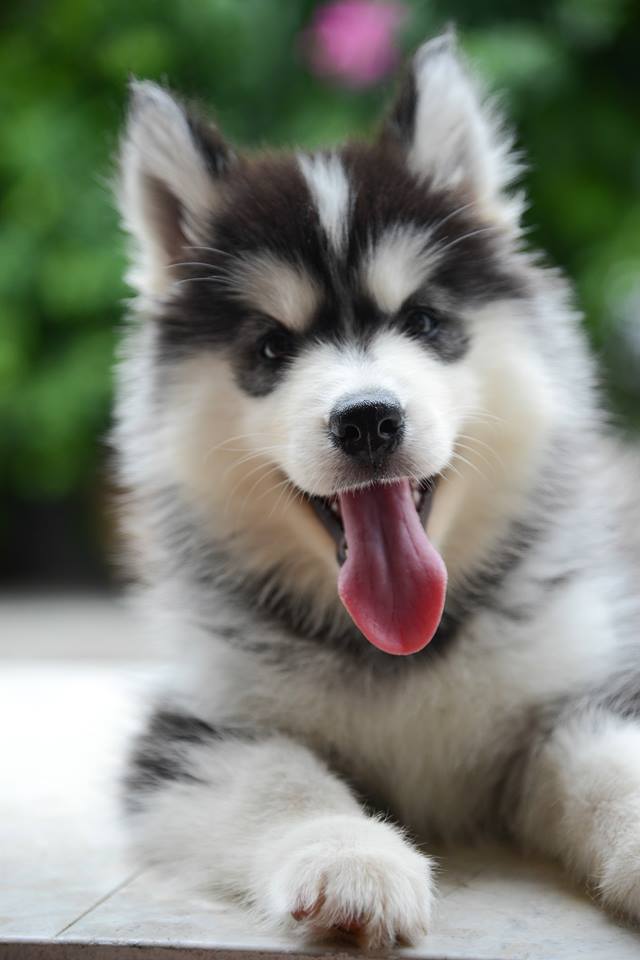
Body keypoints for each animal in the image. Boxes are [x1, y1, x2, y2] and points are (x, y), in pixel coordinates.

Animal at [113, 33, 640, 948]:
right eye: (271, 348)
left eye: (424, 321)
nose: (366, 420)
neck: (397, 653)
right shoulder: (198, 721)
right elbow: (279, 779)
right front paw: (349, 858)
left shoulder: (580, 681)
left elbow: (611, 759)